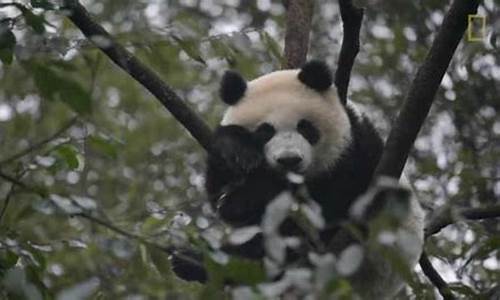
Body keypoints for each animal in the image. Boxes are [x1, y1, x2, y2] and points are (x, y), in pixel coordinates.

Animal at [171, 59, 422, 298]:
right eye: (265, 131)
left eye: (305, 127)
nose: (289, 160)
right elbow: (219, 193)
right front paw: (237, 152)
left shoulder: (359, 153)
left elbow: (335, 205)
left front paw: (249, 195)